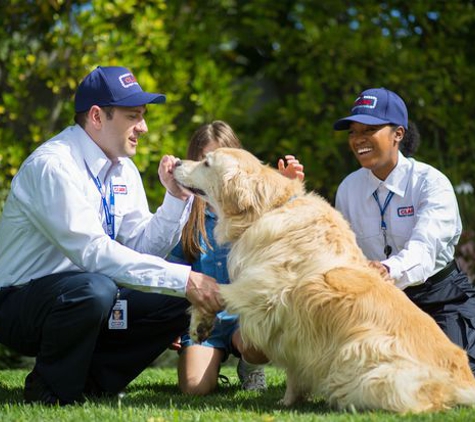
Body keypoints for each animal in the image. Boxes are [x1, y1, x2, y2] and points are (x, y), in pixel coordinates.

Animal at [173, 148, 475, 412]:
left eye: (206, 163)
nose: (175, 162)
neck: (268, 209)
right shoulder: (293, 326)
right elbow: (295, 368)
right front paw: (289, 400)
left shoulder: (264, 291)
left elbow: (220, 290)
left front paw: (200, 321)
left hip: (358, 355)